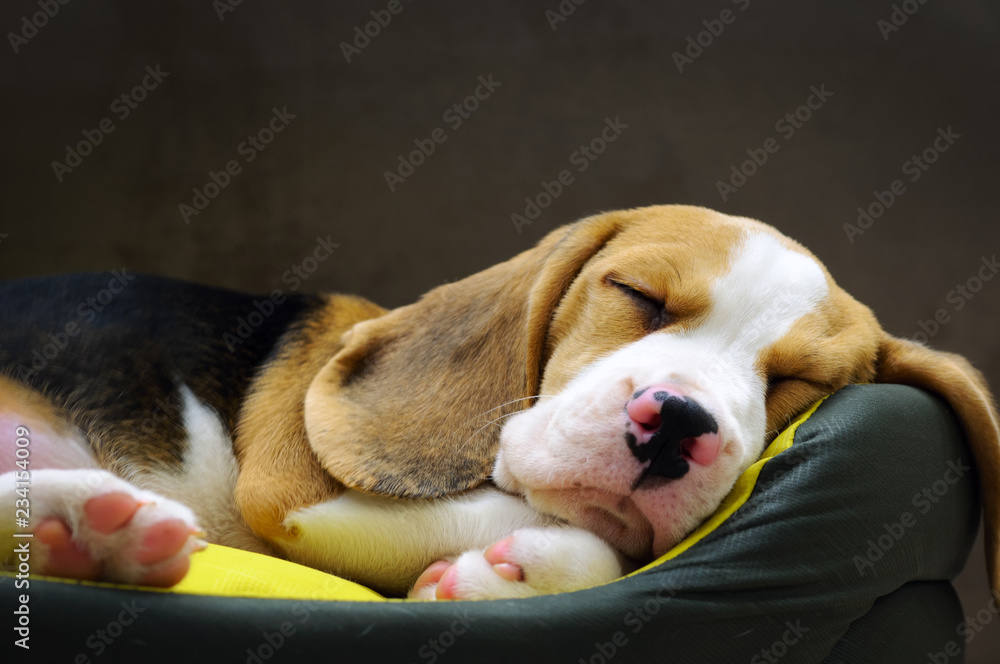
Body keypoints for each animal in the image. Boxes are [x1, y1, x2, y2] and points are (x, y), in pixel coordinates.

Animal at [1, 205, 1000, 600]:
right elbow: (572, 532)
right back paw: (87, 524)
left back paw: (85, 532)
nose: (677, 423)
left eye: (799, 385)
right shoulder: (291, 498)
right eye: (636, 294)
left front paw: (504, 576)